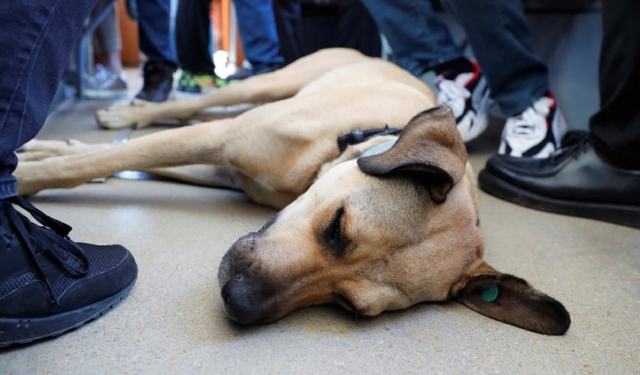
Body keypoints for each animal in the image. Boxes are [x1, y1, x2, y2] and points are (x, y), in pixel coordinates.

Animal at [16, 49, 568, 334]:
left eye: (350, 307)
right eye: (338, 226)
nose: (238, 304)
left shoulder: (223, 166)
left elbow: (114, 161)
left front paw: (42, 158)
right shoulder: (223, 139)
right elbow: (98, 161)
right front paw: (22, 179)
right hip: (266, 86)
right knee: (196, 105)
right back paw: (123, 114)